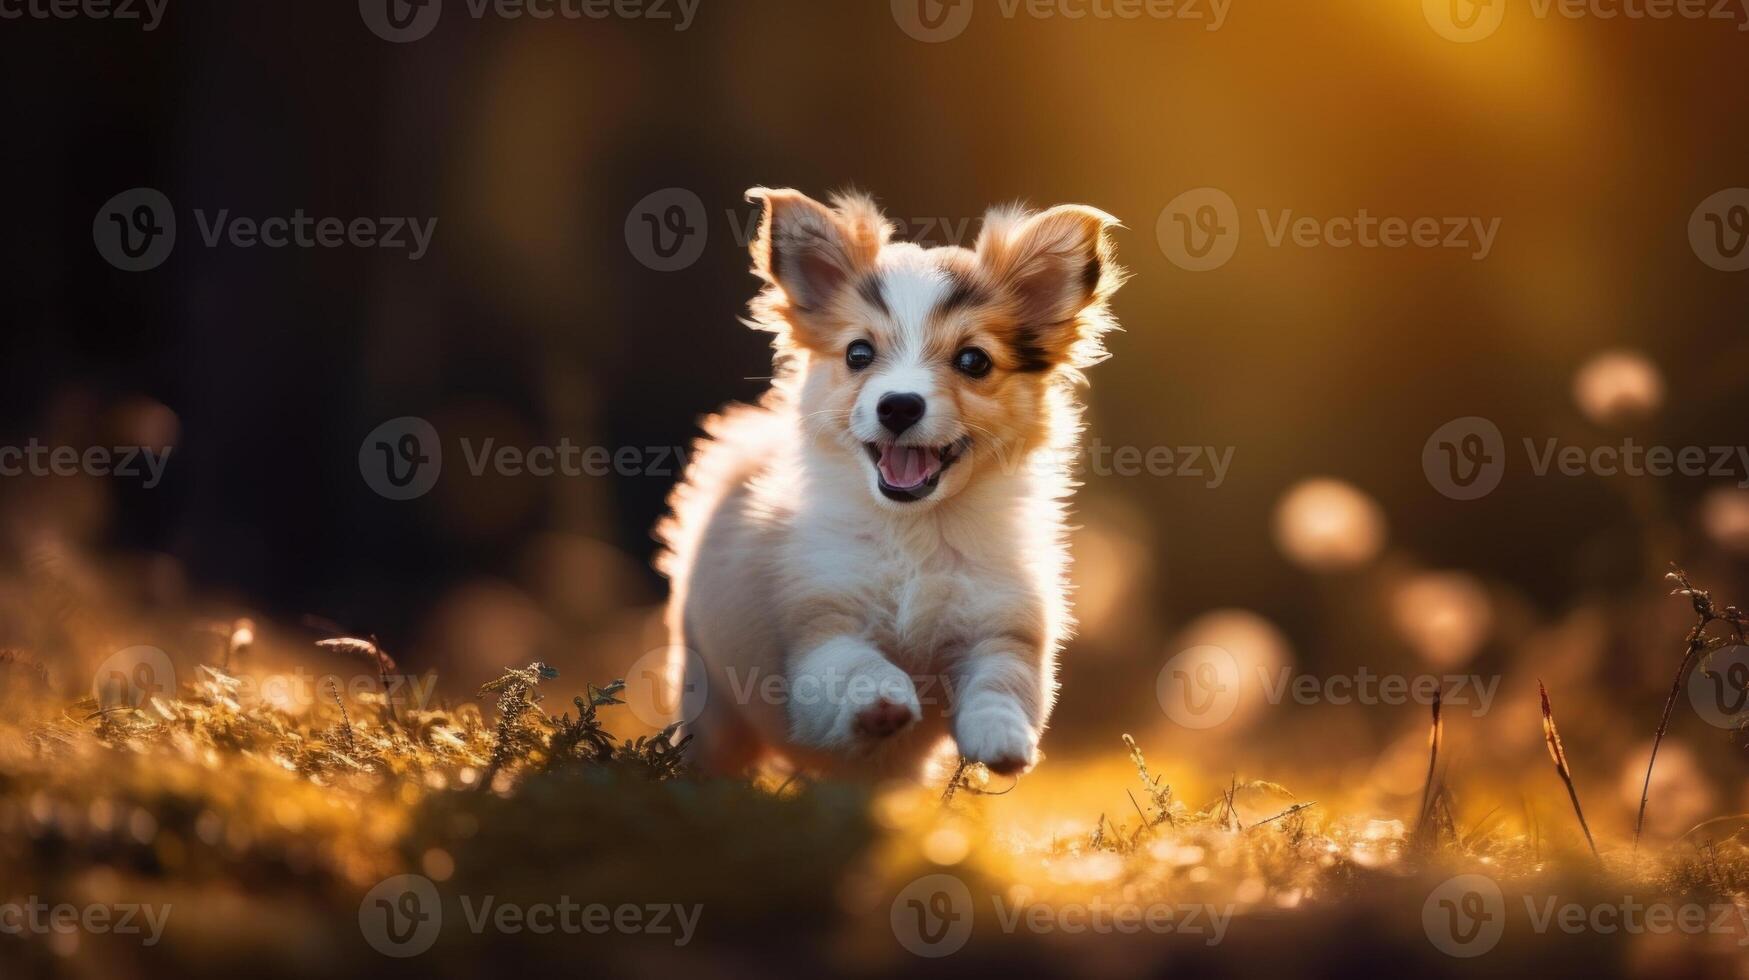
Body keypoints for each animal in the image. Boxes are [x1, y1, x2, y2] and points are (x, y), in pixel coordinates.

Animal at [654, 187, 1119, 777]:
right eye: (859, 354)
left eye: (974, 360)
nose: (898, 405)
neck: (915, 530)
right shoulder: (821, 623)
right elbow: (856, 666)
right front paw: (883, 700)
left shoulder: (1003, 623)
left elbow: (1003, 682)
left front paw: (1002, 738)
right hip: (708, 691)